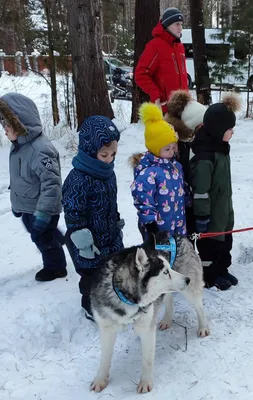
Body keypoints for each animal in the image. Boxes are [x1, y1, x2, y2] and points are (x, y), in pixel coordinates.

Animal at [89, 234, 190, 394]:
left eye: (169, 269)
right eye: (165, 272)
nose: (187, 280)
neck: (123, 296)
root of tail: (174, 234)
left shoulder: (146, 328)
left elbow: (147, 360)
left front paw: (145, 382)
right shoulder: (106, 328)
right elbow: (105, 358)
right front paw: (100, 379)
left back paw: (203, 328)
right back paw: (167, 320)